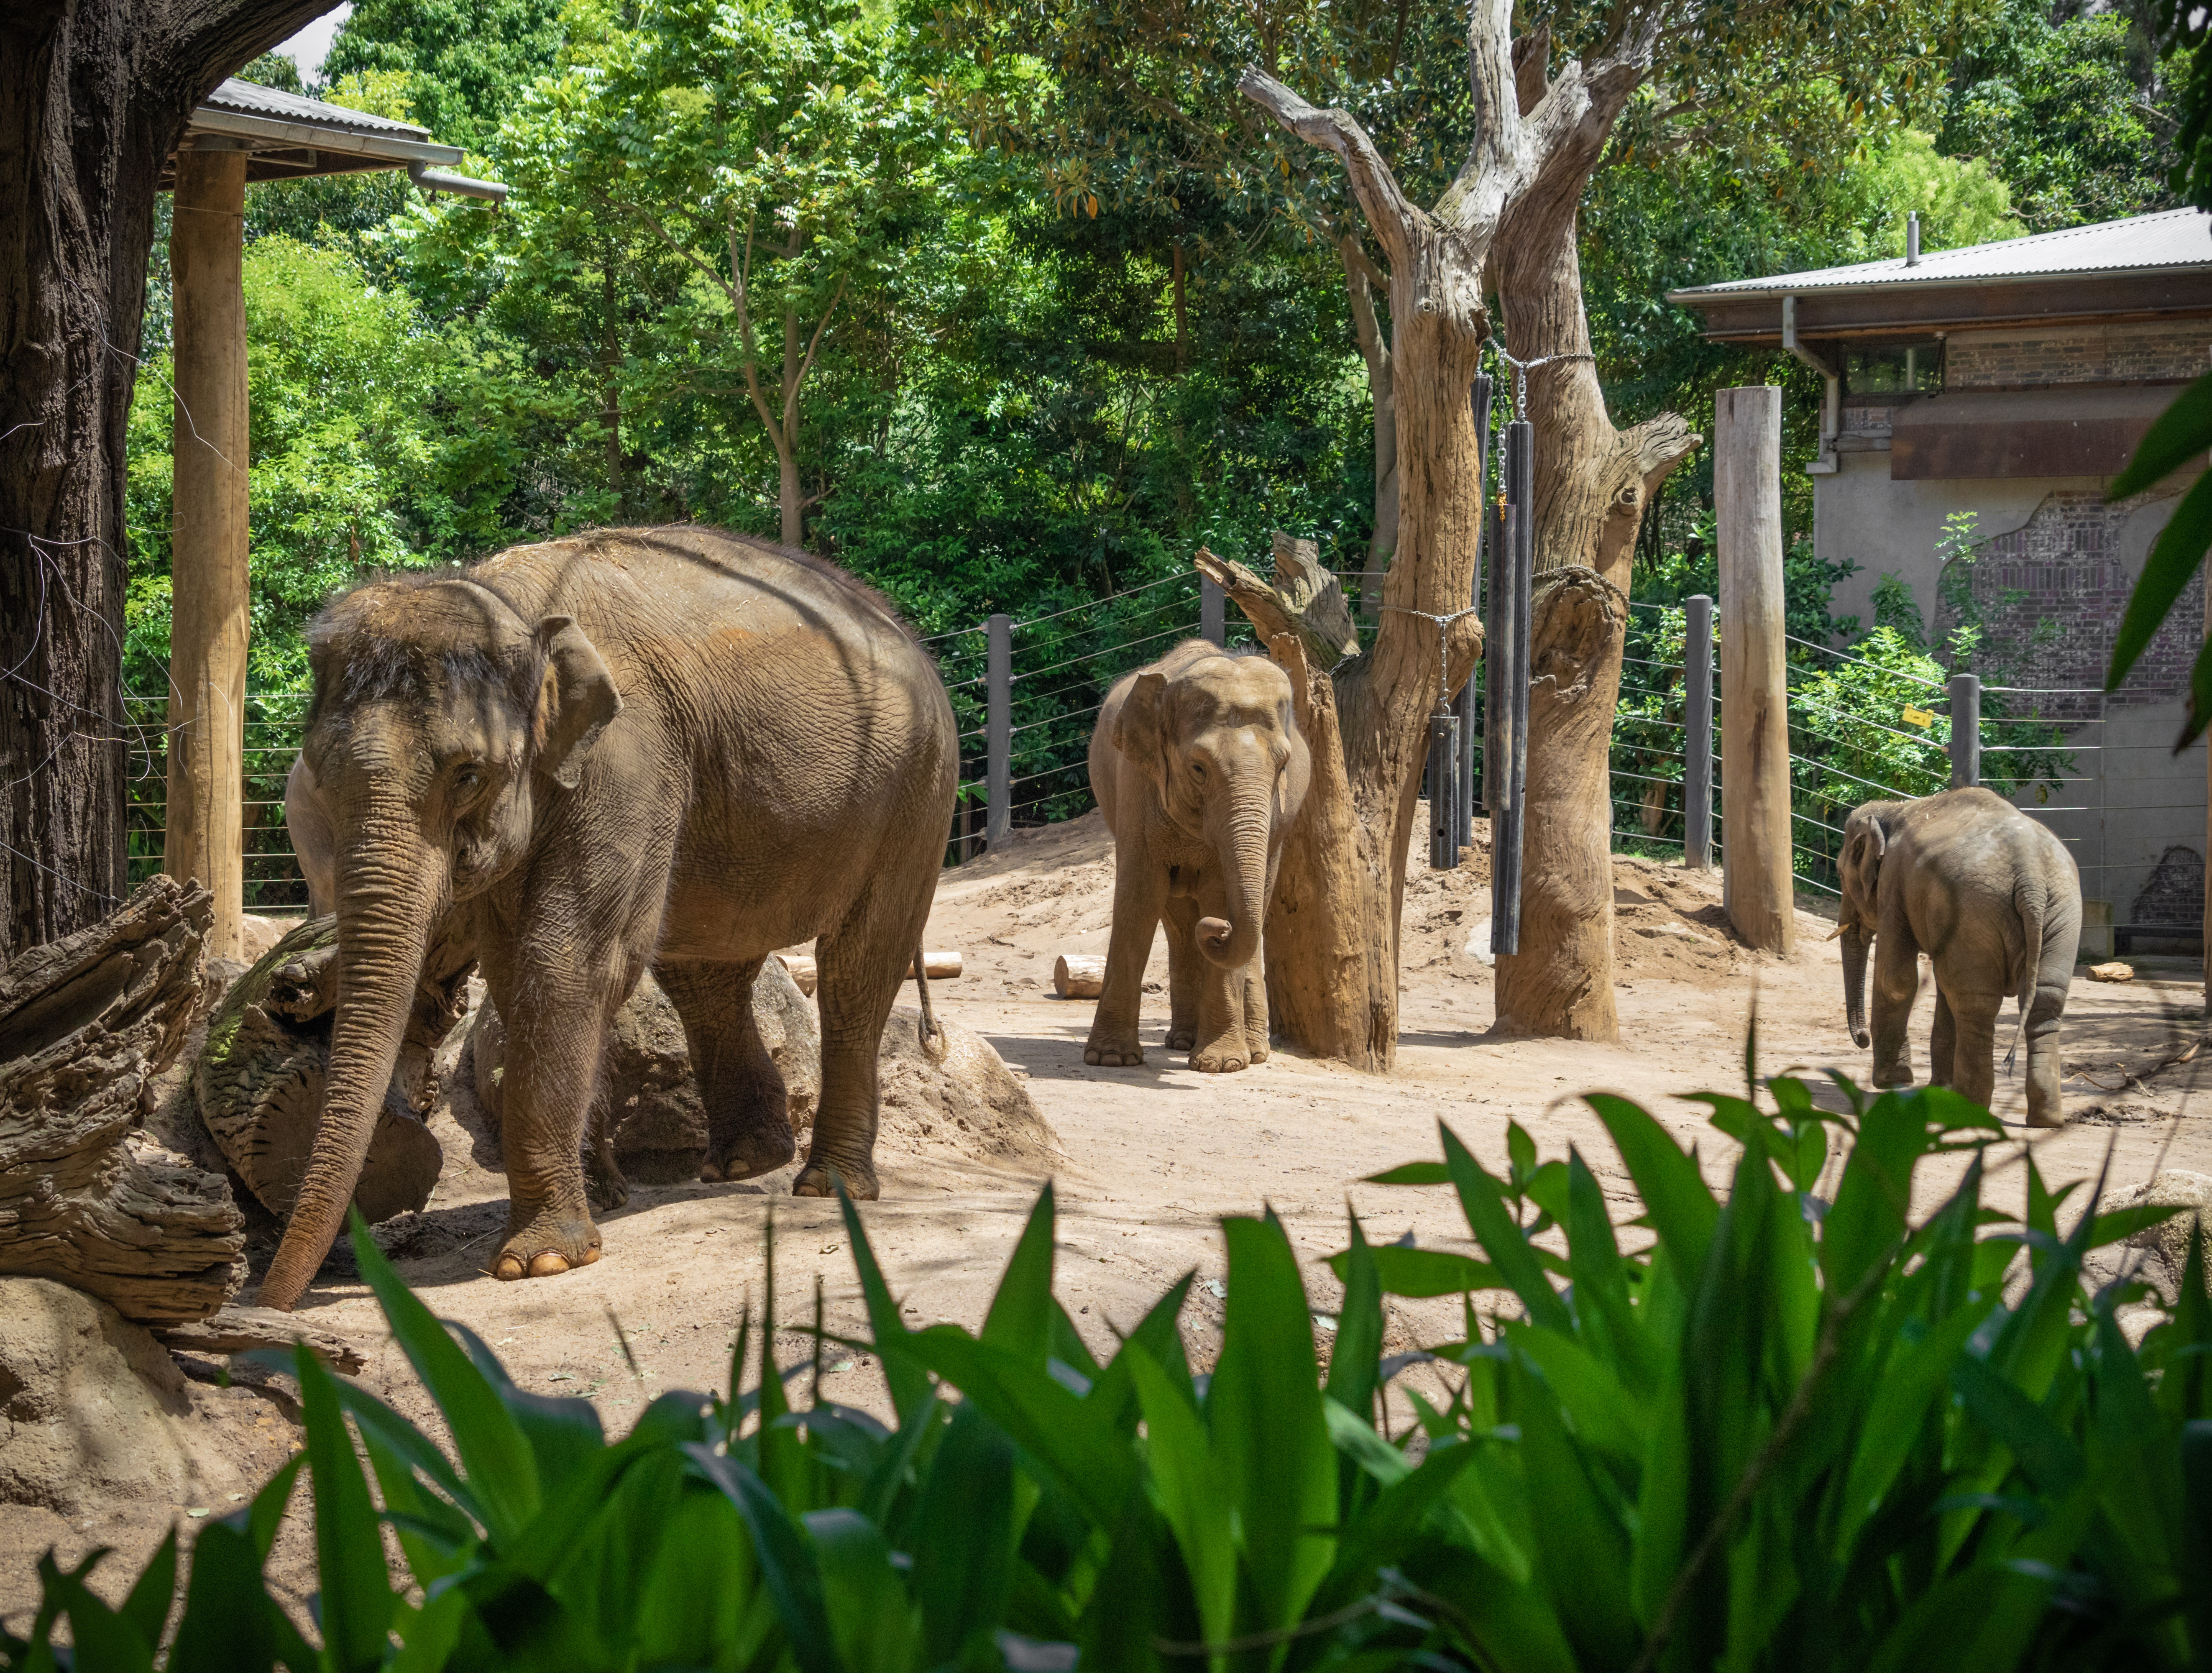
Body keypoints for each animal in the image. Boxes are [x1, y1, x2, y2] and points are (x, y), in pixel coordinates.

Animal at [258, 525, 956, 1310]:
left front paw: (538, 1263)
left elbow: (570, 959)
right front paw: (586, 1215)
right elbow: (514, 969)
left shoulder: (628, 757)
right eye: (321, 778)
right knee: (706, 974)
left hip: (918, 791)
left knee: (856, 970)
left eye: (468, 775)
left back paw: (827, 1185)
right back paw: (745, 1163)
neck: (505, 601)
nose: (271, 1298)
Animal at [1084, 640, 1310, 1073]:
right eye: (1198, 768)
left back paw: (1253, 1052)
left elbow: (1221, 892)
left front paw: (1222, 1065)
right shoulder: (1136, 784)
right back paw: (1182, 1041)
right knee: (1177, 919)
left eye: (1284, 766)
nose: (1218, 931)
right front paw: (1110, 1060)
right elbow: (1140, 896)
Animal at [1837, 787, 2081, 1129]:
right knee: (2044, 1001)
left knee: (1976, 1003)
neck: (1893, 808)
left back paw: (1970, 1108)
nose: (1862, 1039)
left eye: (1839, 873)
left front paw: (1893, 1082)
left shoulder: (1893, 885)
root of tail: (2031, 879)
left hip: (1977, 911)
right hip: (2061, 913)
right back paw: (2045, 1120)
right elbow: (1941, 983)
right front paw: (1937, 1088)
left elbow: (1896, 979)